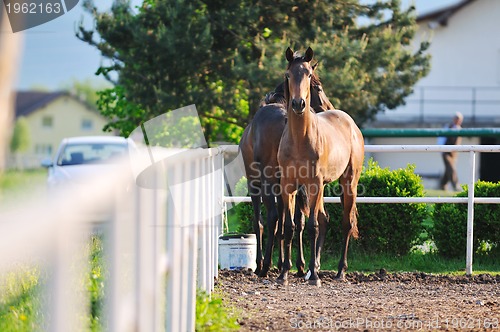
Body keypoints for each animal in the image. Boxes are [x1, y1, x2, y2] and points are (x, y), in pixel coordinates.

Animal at [240, 72, 334, 278]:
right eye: (319, 89)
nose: (330, 109)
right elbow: (289, 222)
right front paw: (286, 263)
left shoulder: (255, 185)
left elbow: (260, 223)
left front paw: (264, 263)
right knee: (296, 221)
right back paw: (299, 266)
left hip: (265, 183)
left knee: (272, 218)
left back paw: (264, 266)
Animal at [278, 46, 364, 286]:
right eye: (288, 74)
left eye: (308, 75)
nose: (298, 104)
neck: (299, 139)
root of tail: (350, 123)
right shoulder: (288, 186)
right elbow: (289, 227)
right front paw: (283, 274)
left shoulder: (314, 185)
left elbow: (312, 227)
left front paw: (315, 278)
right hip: (321, 187)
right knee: (325, 220)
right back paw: (313, 267)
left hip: (348, 184)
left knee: (345, 223)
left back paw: (339, 271)